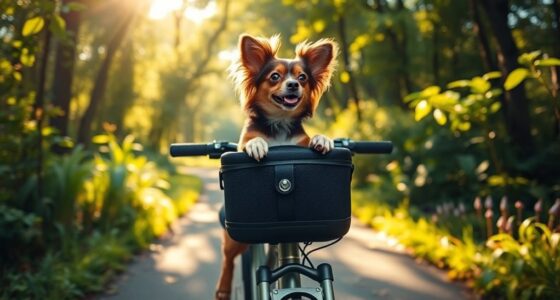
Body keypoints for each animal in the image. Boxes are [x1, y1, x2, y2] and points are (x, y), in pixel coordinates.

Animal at [213, 34, 336, 298]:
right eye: (275, 77)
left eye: (303, 78)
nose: (293, 85)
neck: (280, 122)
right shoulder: (242, 144)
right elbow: (251, 142)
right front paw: (257, 145)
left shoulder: (300, 143)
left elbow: (313, 140)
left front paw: (323, 139)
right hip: (236, 240)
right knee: (227, 259)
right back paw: (223, 288)